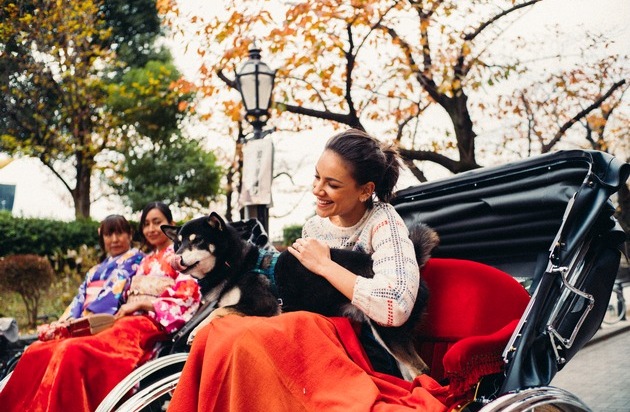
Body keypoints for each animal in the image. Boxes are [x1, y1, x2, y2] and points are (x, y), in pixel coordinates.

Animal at [163, 214, 440, 378]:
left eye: (197, 241)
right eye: (178, 243)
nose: (176, 258)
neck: (235, 264)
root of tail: (412, 267)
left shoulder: (263, 304)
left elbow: (220, 311)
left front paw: (195, 333)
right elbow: (219, 308)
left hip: (388, 331)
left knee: (422, 369)